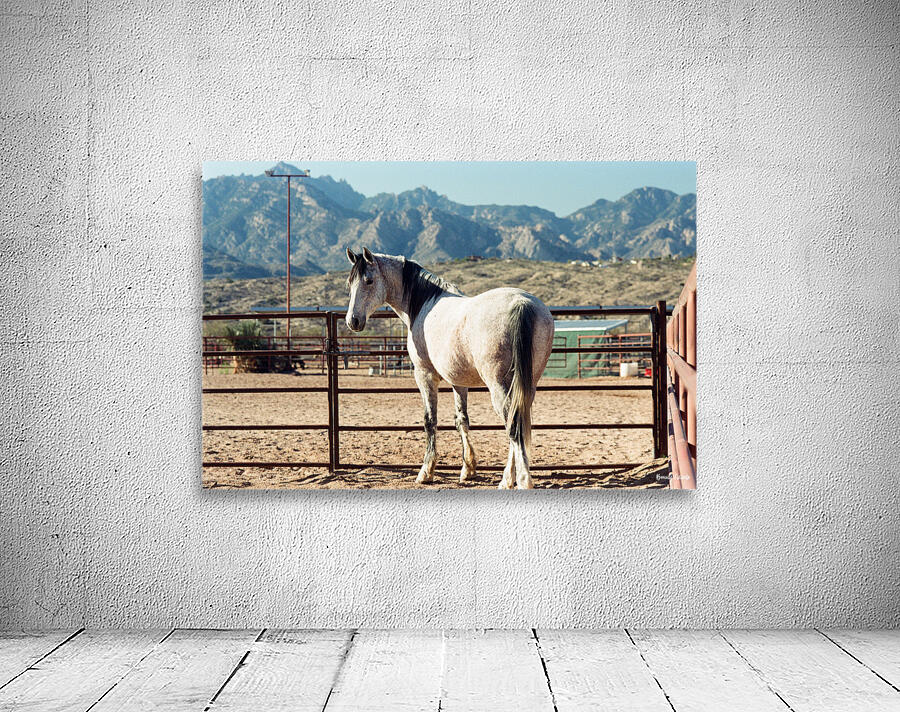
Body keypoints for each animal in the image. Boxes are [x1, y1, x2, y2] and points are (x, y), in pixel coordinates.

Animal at [344, 248, 555, 489]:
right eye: (349, 283)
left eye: (368, 280)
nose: (353, 321)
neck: (423, 303)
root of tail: (521, 303)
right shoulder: (458, 381)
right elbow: (461, 420)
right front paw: (468, 469)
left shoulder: (424, 375)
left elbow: (430, 420)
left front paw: (426, 472)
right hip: (527, 385)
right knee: (518, 420)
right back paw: (507, 479)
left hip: (499, 386)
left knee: (513, 425)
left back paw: (521, 480)